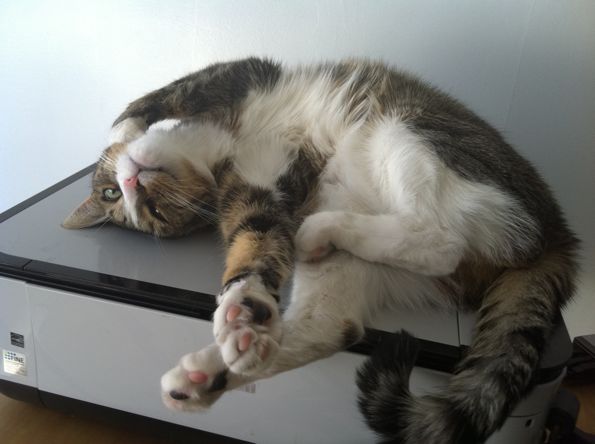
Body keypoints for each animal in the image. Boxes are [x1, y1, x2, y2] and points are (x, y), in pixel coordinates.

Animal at [62, 59, 580, 444]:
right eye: (137, 207)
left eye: (116, 196)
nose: (131, 184)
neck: (216, 145)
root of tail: (557, 233)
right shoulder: (257, 196)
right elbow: (257, 241)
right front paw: (244, 301)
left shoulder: (237, 75)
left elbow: (159, 98)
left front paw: (129, 130)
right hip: (360, 238)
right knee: (339, 318)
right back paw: (214, 368)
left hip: (411, 130)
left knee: (438, 237)